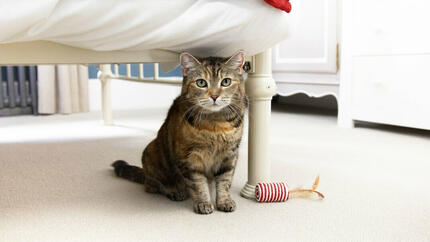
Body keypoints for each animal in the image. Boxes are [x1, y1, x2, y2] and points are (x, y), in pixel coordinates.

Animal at [111, 50, 245, 214]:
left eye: (226, 82)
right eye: (201, 83)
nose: (214, 96)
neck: (215, 124)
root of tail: (145, 173)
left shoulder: (230, 155)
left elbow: (225, 180)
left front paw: (224, 201)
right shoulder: (189, 157)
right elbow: (198, 184)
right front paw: (203, 203)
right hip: (151, 152)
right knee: (153, 186)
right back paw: (175, 191)